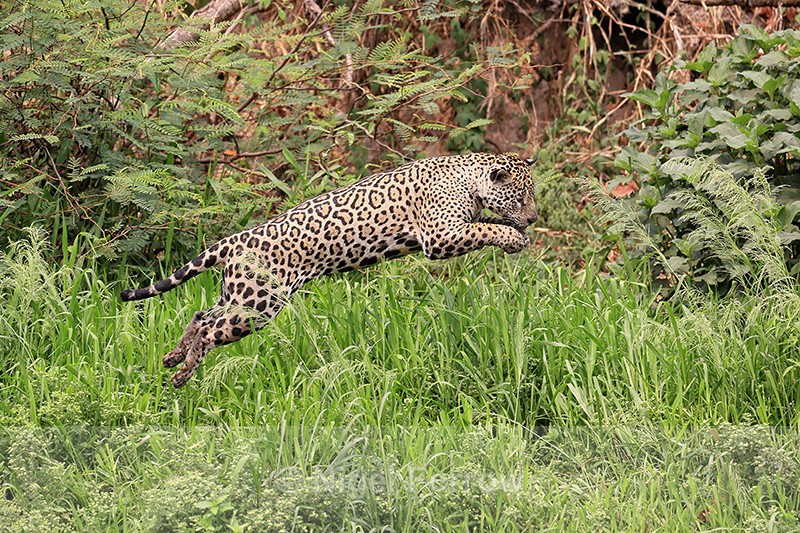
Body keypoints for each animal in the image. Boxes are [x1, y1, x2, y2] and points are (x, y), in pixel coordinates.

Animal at [121, 152, 538, 388]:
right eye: (521, 196)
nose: (534, 218)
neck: (469, 177)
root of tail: (235, 240)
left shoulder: (453, 227)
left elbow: (484, 220)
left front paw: (516, 232)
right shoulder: (440, 236)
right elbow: (484, 228)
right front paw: (513, 238)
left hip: (240, 295)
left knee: (200, 315)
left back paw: (173, 358)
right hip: (257, 305)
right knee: (209, 329)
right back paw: (181, 373)